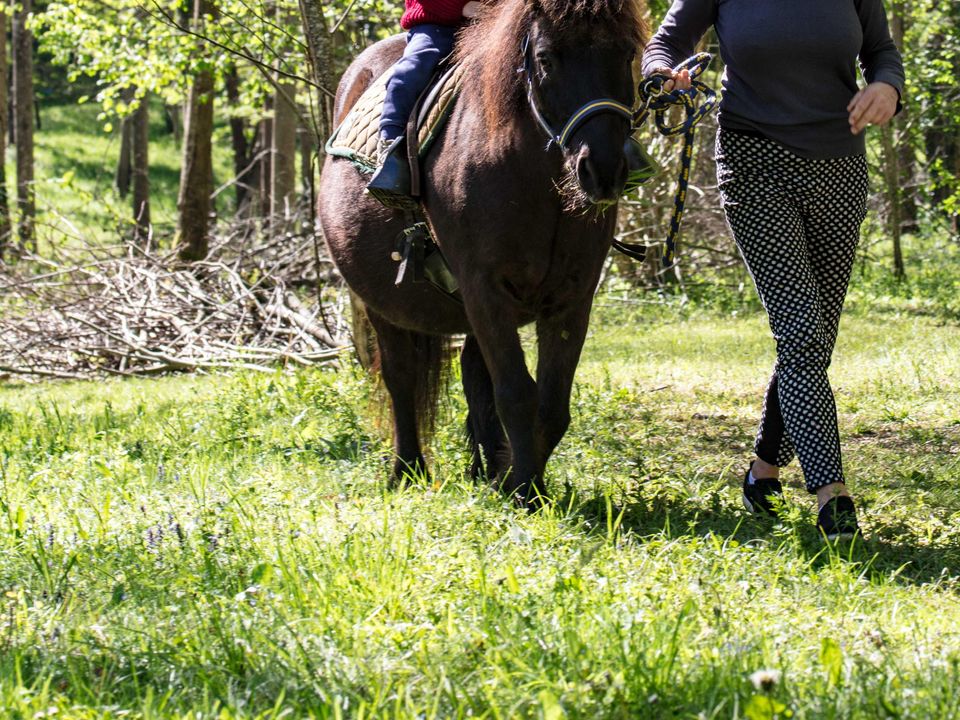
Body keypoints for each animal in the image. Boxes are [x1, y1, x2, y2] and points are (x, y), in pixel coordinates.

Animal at [320, 0, 644, 506]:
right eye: (547, 58)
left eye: (626, 52)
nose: (604, 170)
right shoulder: (483, 288)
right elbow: (516, 393)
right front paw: (525, 491)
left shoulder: (572, 298)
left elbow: (551, 404)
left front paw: (516, 480)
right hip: (381, 305)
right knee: (401, 377)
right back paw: (406, 470)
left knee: (474, 376)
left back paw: (483, 467)